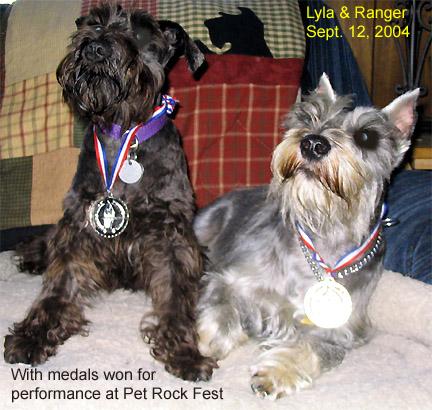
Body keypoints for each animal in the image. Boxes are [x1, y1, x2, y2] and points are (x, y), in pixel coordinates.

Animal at [4, 2, 216, 382]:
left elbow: (176, 296)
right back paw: (31, 255)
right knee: (46, 241)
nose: (95, 49)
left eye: (142, 31)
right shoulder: (79, 223)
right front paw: (33, 334)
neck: (123, 130)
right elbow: (59, 285)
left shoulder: (171, 235)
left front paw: (185, 351)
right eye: (94, 22)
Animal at [194, 74, 416, 398]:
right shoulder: (229, 279)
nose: (313, 142)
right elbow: (220, 308)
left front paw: (277, 372)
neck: (324, 235)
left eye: (366, 136)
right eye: (310, 116)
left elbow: (312, 347)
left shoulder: (340, 331)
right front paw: (198, 343)